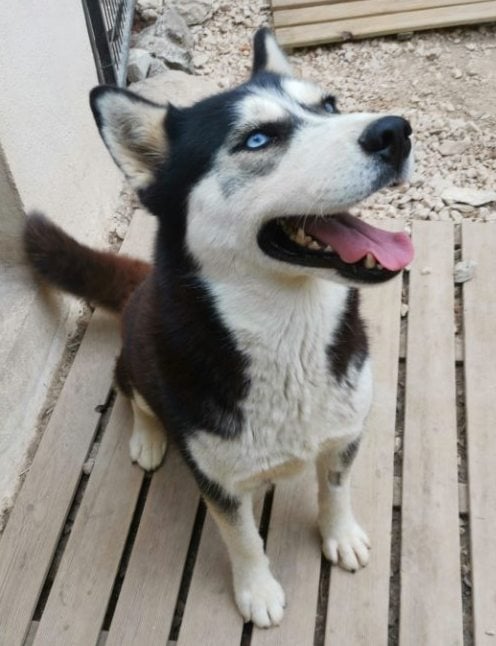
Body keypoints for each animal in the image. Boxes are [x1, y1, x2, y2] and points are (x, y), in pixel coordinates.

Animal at [25, 29, 412, 628]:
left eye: (328, 106)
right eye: (256, 139)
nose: (395, 131)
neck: (290, 339)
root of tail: (140, 287)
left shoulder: (344, 436)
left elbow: (336, 490)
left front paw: (340, 535)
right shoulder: (219, 482)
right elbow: (244, 539)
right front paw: (258, 590)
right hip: (136, 359)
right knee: (131, 394)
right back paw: (148, 437)